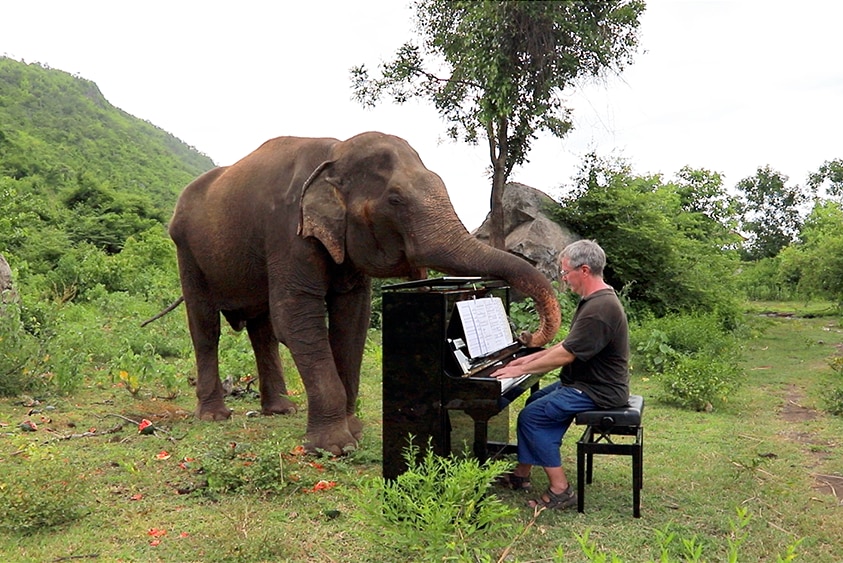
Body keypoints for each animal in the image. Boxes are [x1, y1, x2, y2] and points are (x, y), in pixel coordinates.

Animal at [168, 133, 560, 458]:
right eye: (395, 199)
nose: (525, 336)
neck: (334, 151)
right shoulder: (287, 231)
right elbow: (296, 318)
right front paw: (335, 448)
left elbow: (351, 320)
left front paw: (353, 432)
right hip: (186, 250)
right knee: (207, 327)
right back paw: (214, 416)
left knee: (261, 330)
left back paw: (280, 410)